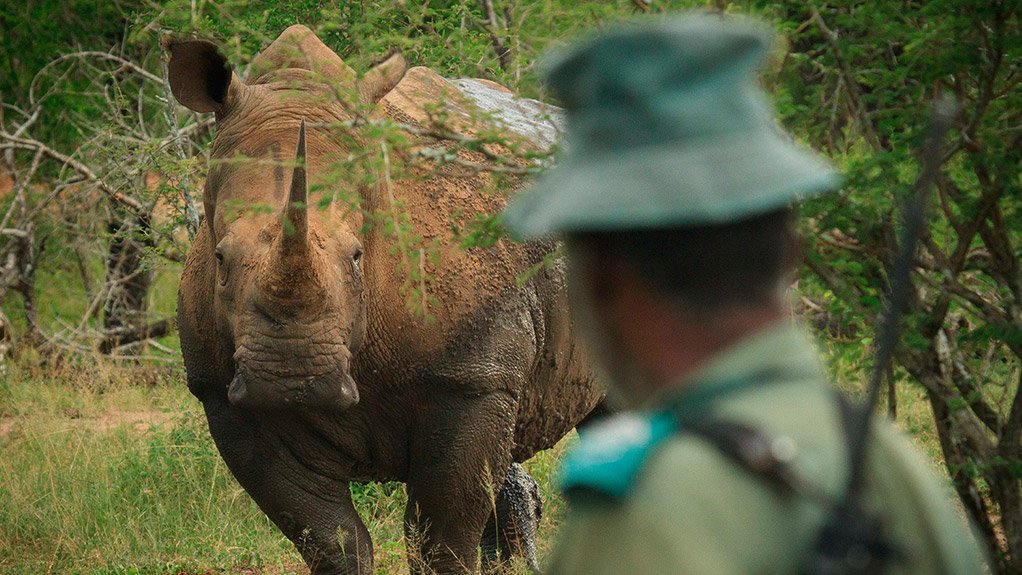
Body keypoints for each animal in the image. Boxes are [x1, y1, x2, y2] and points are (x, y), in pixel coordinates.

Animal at [168, 25, 602, 574]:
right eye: (221, 258)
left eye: (357, 255)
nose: (292, 378)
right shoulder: (225, 398)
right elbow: (329, 538)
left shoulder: (473, 379)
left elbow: (441, 536)